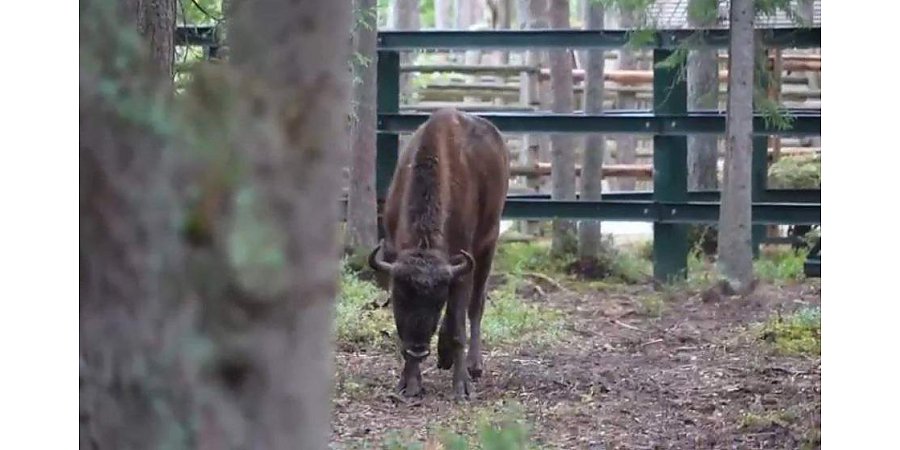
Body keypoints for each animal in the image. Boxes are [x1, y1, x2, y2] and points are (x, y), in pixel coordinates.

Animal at [366, 109, 506, 400]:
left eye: (436, 301)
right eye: (400, 297)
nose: (418, 349)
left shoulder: (462, 267)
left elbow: (458, 326)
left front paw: (461, 386)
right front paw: (409, 384)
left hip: (488, 246)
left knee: (475, 306)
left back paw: (473, 366)